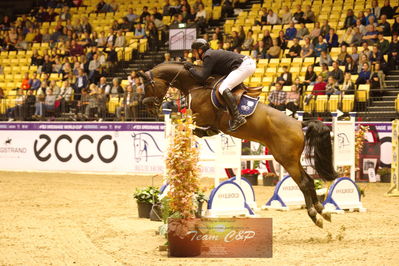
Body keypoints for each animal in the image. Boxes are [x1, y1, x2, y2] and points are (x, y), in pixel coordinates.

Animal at [139, 61, 340, 227]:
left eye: (147, 87)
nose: (149, 108)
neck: (196, 85)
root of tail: (298, 124)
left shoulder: (199, 117)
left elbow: (184, 122)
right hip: (289, 159)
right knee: (309, 180)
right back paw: (323, 211)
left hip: (287, 159)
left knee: (304, 182)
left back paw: (315, 215)